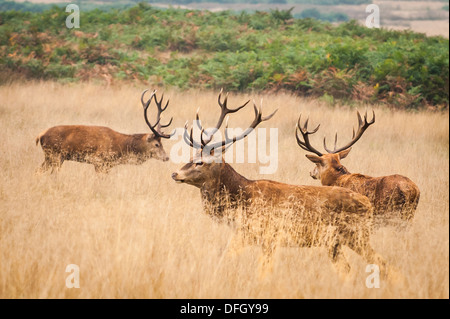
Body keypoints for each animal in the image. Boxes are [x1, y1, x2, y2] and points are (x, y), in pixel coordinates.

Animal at [34, 89, 172, 174]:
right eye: (156, 144)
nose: (167, 157)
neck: (120, 148)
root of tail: (40, 135)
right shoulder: (99, 161)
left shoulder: (107, 165)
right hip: (54, 154)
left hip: (51, 156)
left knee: (38, 171)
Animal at [172, 90, 390, 280]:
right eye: (190, 157)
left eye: (200, 162)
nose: (175, 173)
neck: (242, 199)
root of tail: (367, 204)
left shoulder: (267, 234)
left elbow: (259, 270)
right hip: (335, 242)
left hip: (355, 235)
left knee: (382, 263)